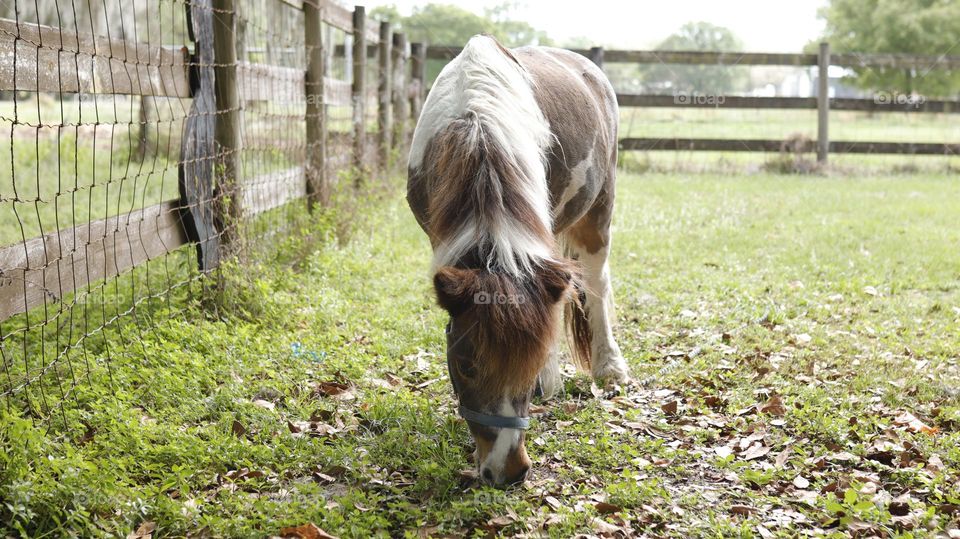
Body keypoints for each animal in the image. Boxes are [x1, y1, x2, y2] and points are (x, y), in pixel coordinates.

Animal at [406, 35, 628, 488]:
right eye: (466, 366)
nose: (509, 470)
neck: (476, 129)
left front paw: (546, 378)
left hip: (599, 208)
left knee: (596, 282)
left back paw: (608, 367)